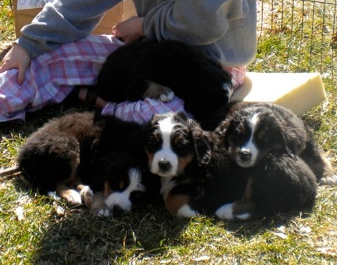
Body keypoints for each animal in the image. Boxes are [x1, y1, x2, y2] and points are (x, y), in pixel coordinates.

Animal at [79, 40, 231, 127]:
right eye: (215, 105)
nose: (220, 122)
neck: (188, 68)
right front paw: (165, 92)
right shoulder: (138, 77)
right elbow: (148, 82)